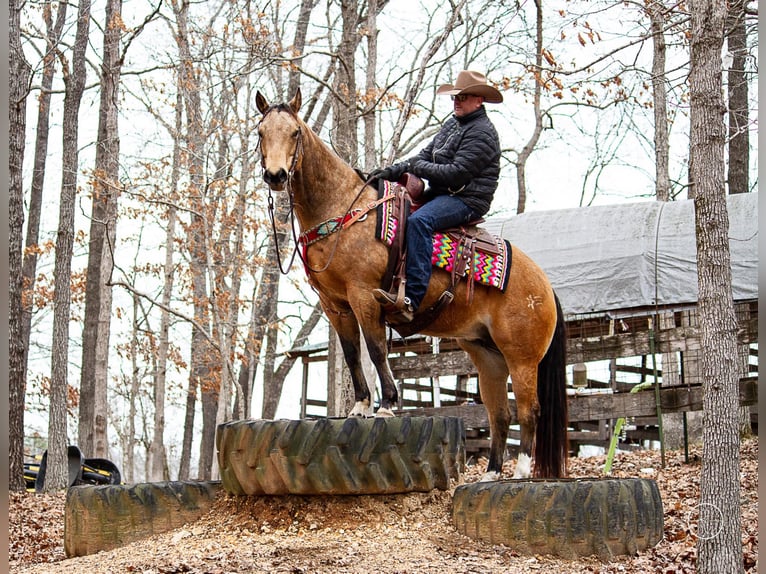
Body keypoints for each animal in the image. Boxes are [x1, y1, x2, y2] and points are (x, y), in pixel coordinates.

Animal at [255, 90, 568, 480]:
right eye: (260, 132)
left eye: (295, 132)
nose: (275, 175)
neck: (342, 208)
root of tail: (545, 286)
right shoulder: (335, 305)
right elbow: (353, 354)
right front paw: (359, 408)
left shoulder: (364, 295)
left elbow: (376, 350)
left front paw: (387, 404)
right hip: (487, 356)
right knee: (499, 413)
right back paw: (492, 474)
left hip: (522, 357)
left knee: (529, 410)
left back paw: (522, 472)